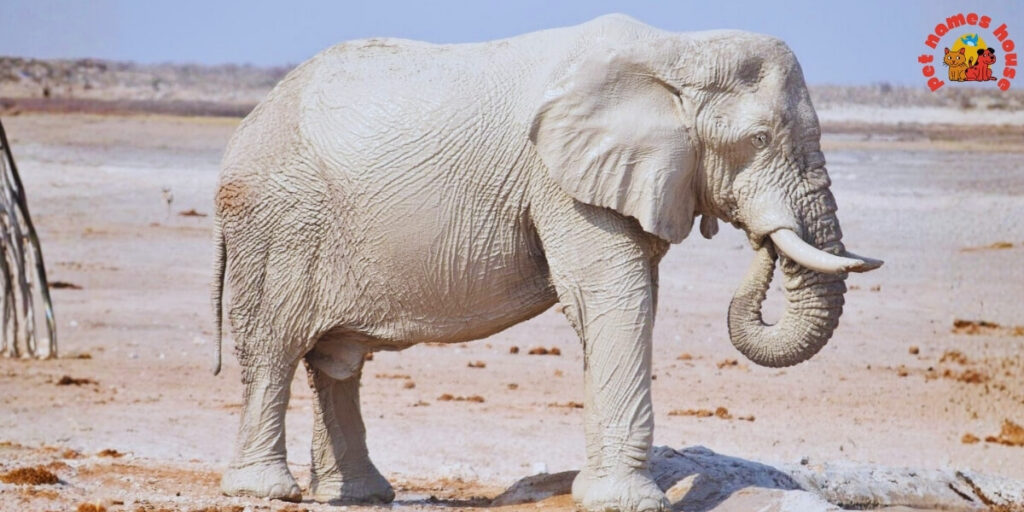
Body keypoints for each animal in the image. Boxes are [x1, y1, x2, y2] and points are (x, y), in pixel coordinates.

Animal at [211, 14, 882, 512]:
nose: (759, 242)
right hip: (278, 221)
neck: (676, 49)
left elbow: (628, 297)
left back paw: (360, 496)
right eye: (758, 140)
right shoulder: (561, 181)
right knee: (275, 348)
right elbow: (615, 297)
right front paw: (628, 501)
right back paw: (267, 490)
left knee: (335, 362)